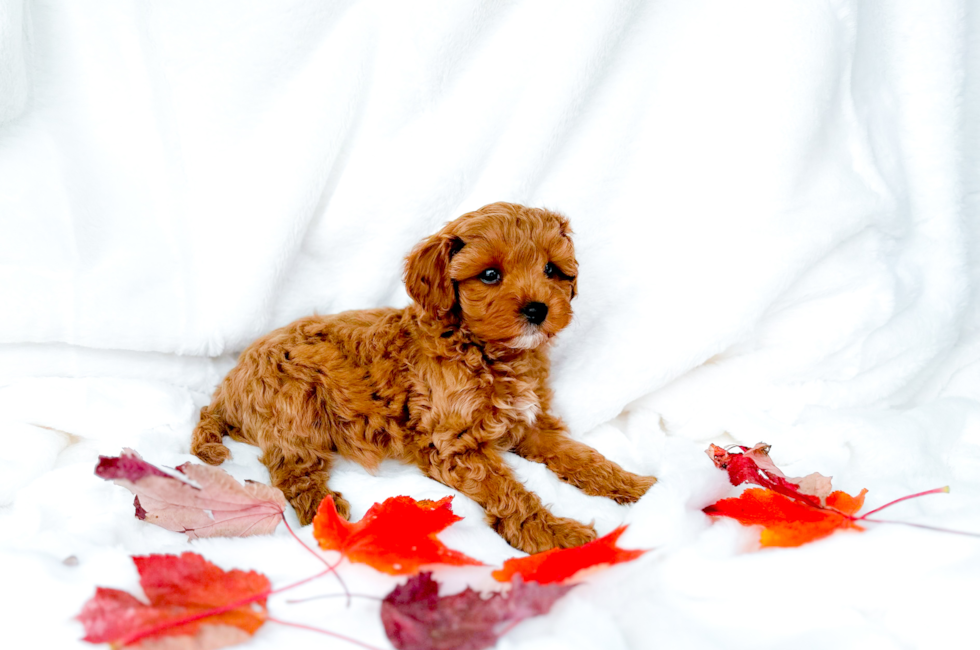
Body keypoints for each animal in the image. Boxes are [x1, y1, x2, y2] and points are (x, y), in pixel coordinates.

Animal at [189, 200, 660, 548]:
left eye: (551, 270)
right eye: (490, 274)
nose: (537, 309)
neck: (489, 353)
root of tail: (225, 389)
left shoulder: (529, 424)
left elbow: (582, 456)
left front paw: (637, 487)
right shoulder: (452, 445)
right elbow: (509, 493)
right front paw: (556, 535)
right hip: (295, 405)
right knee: (292, 470)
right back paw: (327, 514)